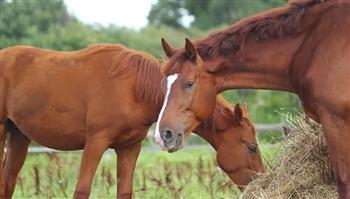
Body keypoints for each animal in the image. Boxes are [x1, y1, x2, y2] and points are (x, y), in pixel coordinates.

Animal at [0, 44, 262, 198]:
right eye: (251, 147)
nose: (261, 179)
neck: (134, 89)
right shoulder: (95, 144)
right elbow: (82, 190)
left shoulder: (129, 148)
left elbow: (125, 192)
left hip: (19, 137)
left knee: (7, 183)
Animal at [156, 0, 350, 197]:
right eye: (162, 84)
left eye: (189, 83)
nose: (163, 135)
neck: (313, 45)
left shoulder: (335, 121)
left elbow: (343, 181)